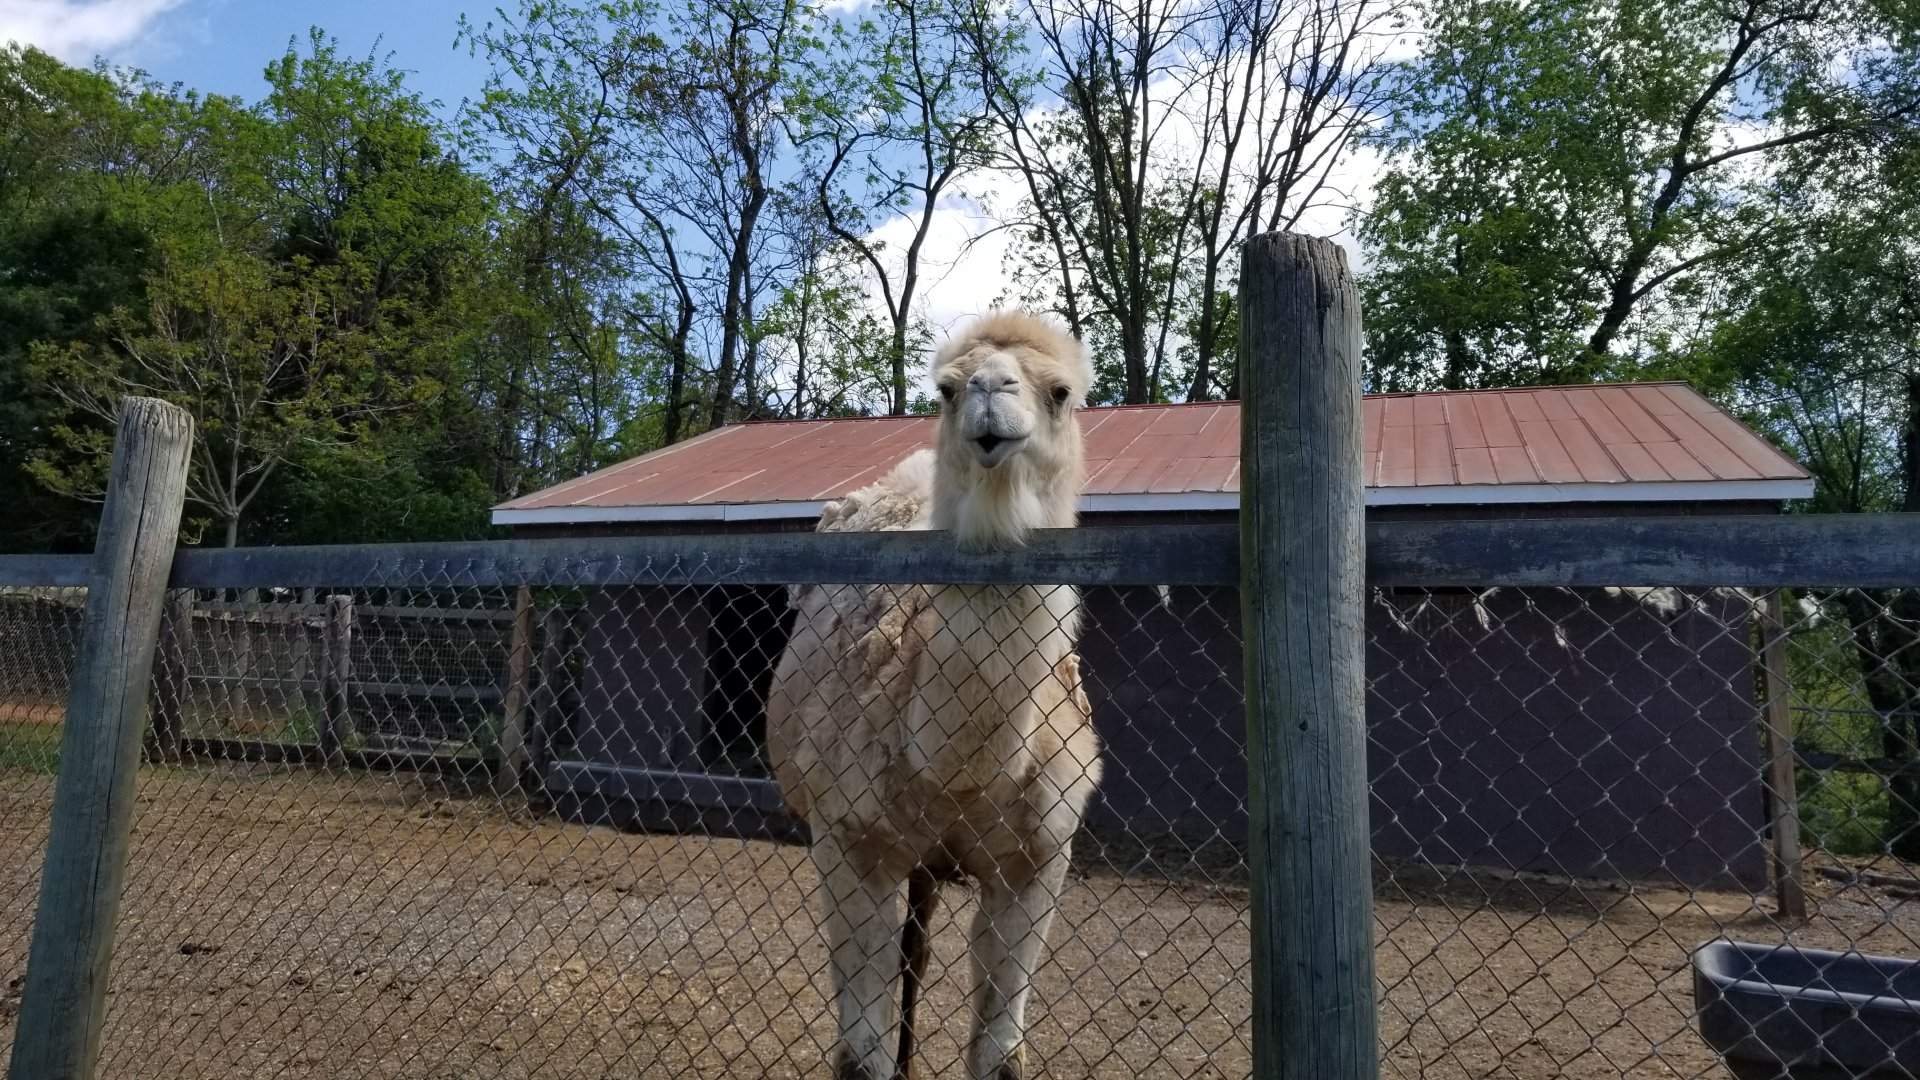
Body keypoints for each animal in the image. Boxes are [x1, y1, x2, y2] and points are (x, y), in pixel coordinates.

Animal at [765, 310, 1102, 1080]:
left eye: (1062, 392)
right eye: (946, 389)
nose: (990, 393)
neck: (958, 776)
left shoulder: (1040, 857)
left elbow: (1001, 1055)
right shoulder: (848, 839)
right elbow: (859, 1055)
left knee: (917, 954)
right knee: (907, 958)